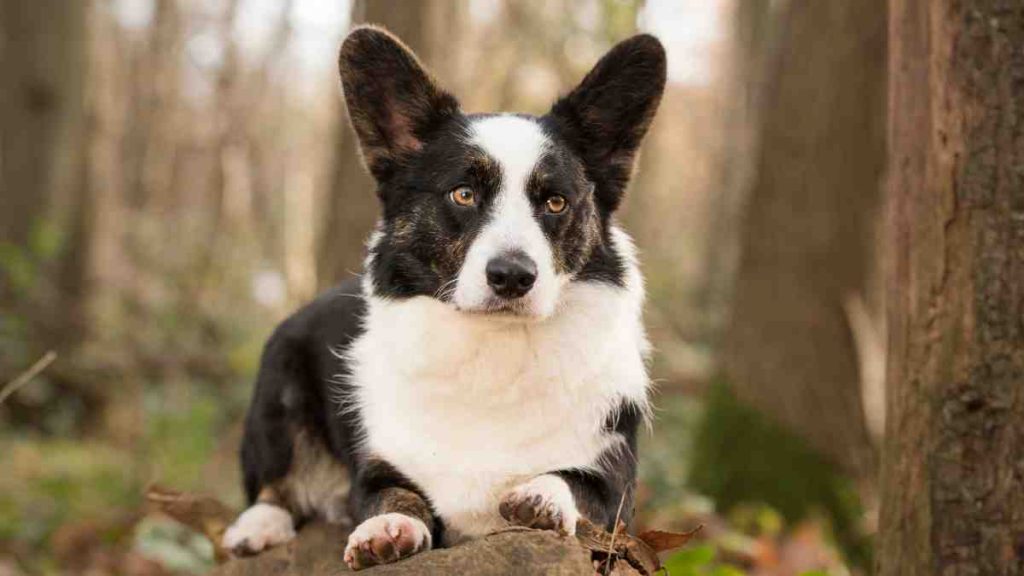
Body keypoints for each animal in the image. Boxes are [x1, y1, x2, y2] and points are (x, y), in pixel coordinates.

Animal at [223, 25, 667, 569]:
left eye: (556, 202)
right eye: (463, 194)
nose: (512, 276)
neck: (494, 350)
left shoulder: (617, 490)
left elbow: (576, 482)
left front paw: (541, 497)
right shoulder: (375, 470)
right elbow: (393, 494)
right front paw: (386, 529)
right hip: (278, 386)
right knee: (273, 485)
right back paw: (257, 527)